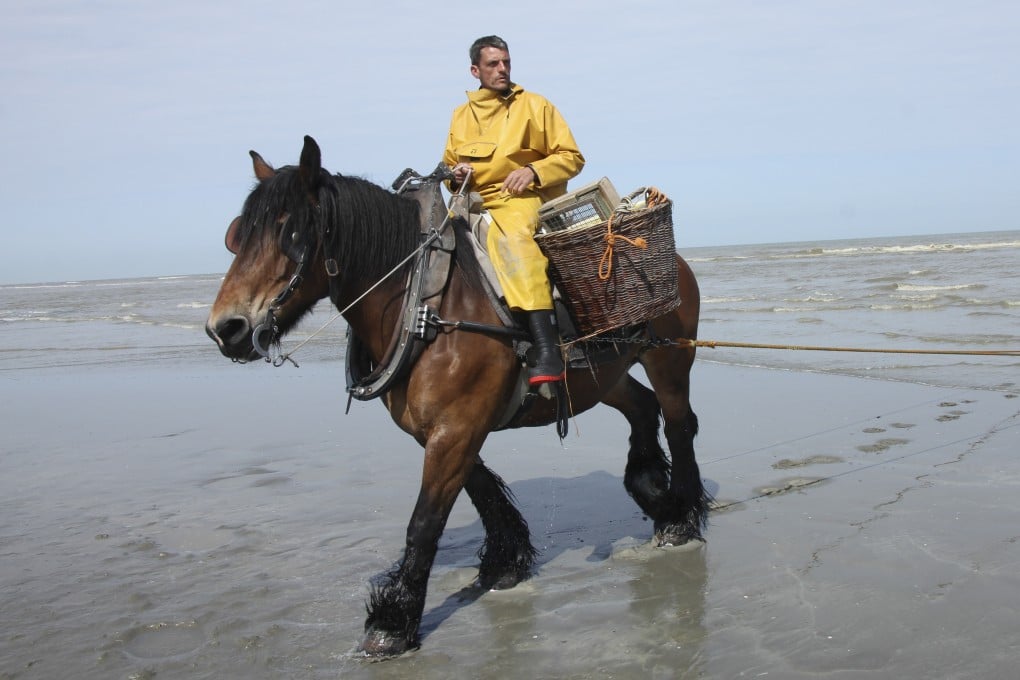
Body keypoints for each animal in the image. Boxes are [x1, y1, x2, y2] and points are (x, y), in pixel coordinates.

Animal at [206, 135, 710, 657]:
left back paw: (682, 515)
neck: (426, 307)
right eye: (238, 237)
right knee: (643, 409)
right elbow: (481, 488)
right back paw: (654, 493)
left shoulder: (457, 427)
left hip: (670, 357)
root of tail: (674, 259)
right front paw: (505, 561)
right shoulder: (444, 429)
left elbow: (425, 521)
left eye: (291, 233)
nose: (226, 328)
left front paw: (394, 619)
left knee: (679, 423)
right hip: (603, 377)